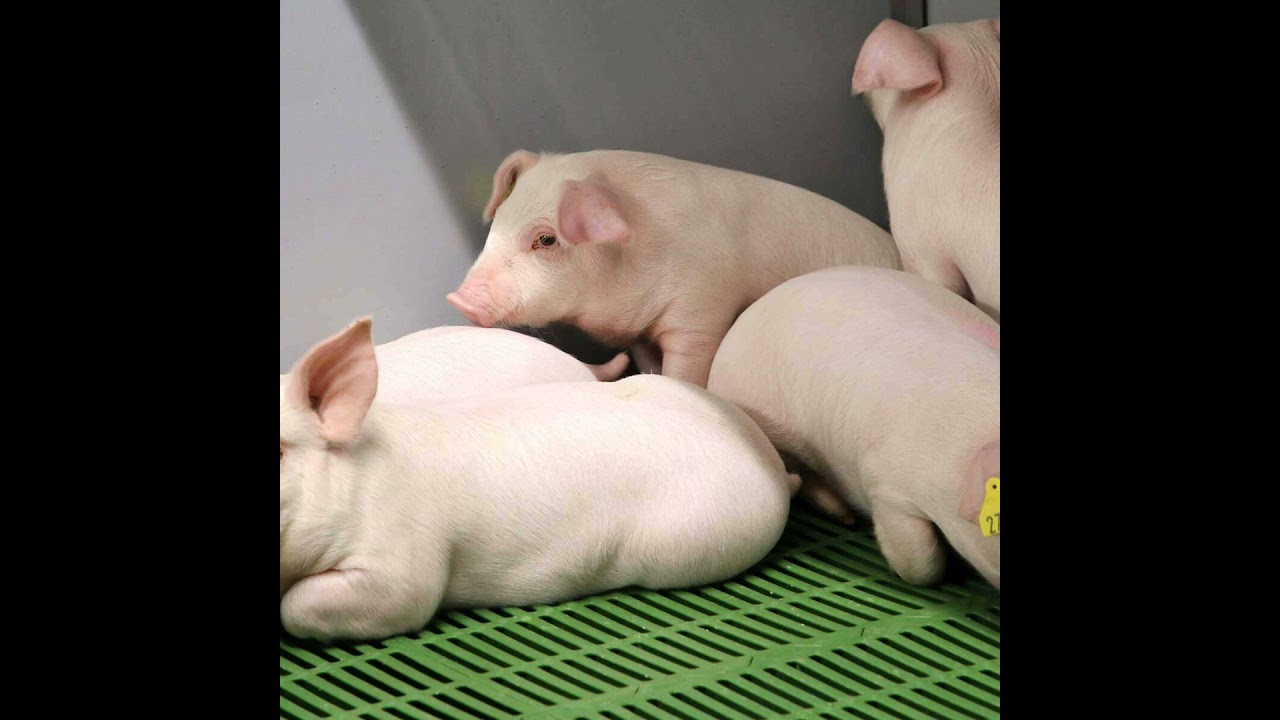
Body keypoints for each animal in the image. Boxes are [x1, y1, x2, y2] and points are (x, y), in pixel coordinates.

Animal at [446, 149, 901, 388]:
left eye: (546, 239)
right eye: (498, 220)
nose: (458, 298)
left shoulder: (702, 309)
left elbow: (688, 368)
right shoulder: (641, 334)